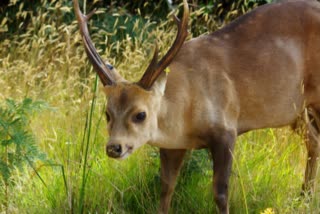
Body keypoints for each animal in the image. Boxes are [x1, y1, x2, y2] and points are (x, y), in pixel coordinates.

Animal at [74, 0, 320, 212]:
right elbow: (166, 188)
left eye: (140, 114)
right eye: (107, 113)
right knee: (314, 141)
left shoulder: (226, 129)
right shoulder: (173, 146)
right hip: (296, 111)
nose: (113, 147)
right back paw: (303, 198)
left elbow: (220, 192)